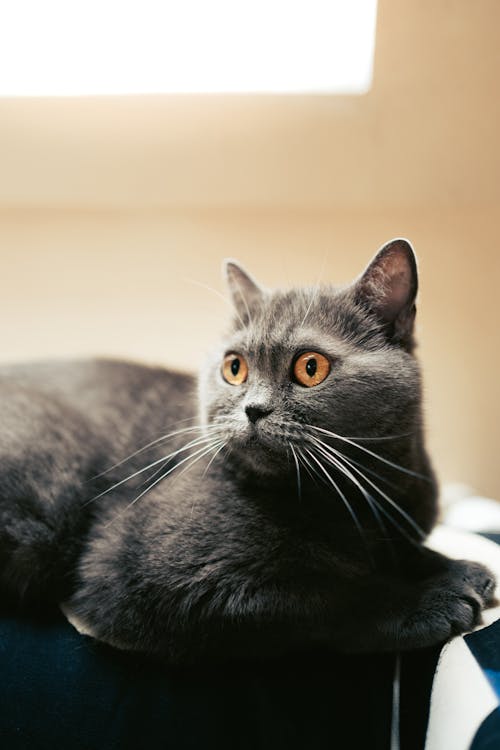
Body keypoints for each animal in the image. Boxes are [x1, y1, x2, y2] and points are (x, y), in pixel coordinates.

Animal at [0, 241, 494, 664]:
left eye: (310, 367)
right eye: (234, 367)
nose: (254, 409)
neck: (352, 496)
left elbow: (400, 550)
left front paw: (460, 569)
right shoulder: (145, 573)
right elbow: (319, 594)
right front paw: (431, 598)